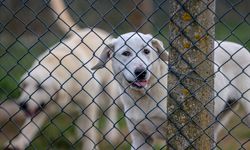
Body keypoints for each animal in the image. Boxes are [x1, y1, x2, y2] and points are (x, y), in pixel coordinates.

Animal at [92, 32, 250, 149]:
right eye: (125, 53)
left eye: (146, 51)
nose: (141, 72)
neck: (145, 96)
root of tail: (242, 48)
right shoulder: (140, 139)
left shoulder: (178, 135)